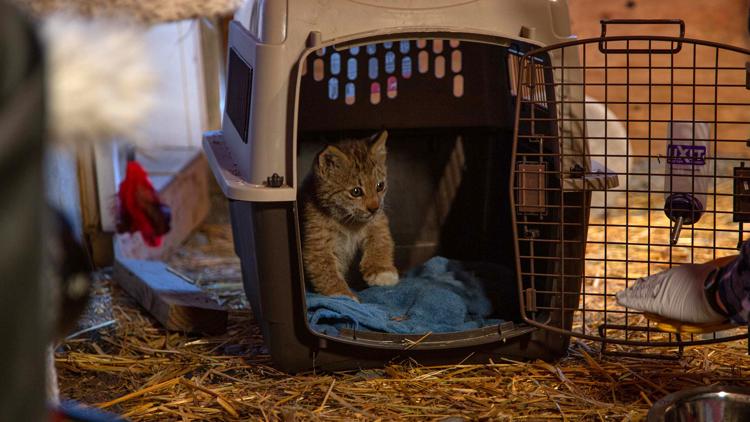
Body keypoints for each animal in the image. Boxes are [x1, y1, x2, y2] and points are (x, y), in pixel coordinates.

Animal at [302, 130, 402, 298]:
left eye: (380, 186)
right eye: (356, 192)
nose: (374, 208)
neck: (348, 220)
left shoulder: (378, 221)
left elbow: (381, 242)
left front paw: (382, 271)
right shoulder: (318, 244)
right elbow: (326, 271)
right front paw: (342, 295)